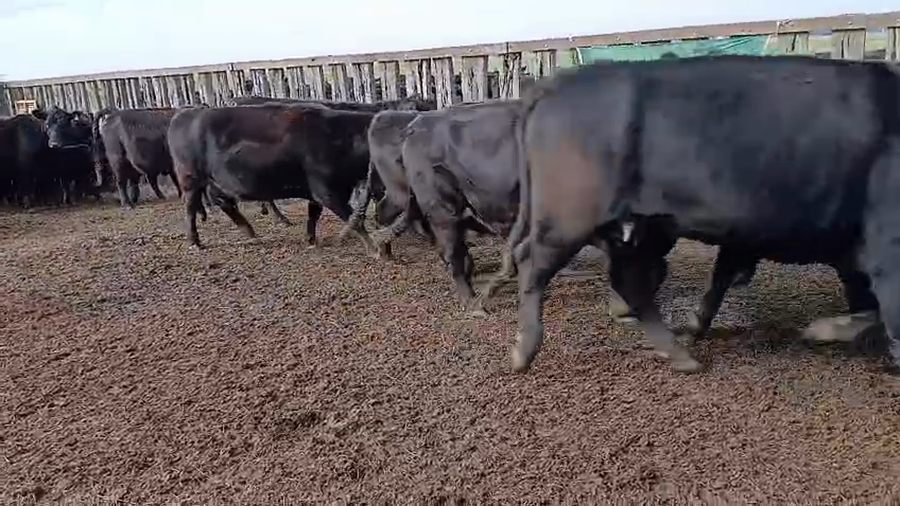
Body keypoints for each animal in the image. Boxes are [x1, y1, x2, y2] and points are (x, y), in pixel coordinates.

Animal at [167, 103, 381, 251]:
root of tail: (185, 113)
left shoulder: (322, 192)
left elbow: (314, 214)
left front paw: (310, 240)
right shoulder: (327, 191)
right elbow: (354, 218)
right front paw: (374, 248)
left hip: (216, 181)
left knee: (223, 202)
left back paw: (251, 232)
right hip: (190, 178)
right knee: (190, 207)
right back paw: (195, 242)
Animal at [506, 54, 900, 376]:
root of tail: (552, 85)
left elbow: (721, 278)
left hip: (637, 227)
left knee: (627, 280)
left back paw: (678, 354)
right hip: (570, 219)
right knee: (534, 263)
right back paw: (523, 351)